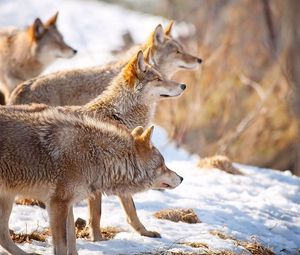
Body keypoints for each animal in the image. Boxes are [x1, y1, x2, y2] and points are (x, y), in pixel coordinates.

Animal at [0, 107, 183, 255]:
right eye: (163, 165)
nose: (181, 178)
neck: (95, 156)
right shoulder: (57, 204)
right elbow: (62, 246)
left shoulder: (67, 205)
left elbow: (72, 242)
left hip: (8, 198)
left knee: (3, 236)